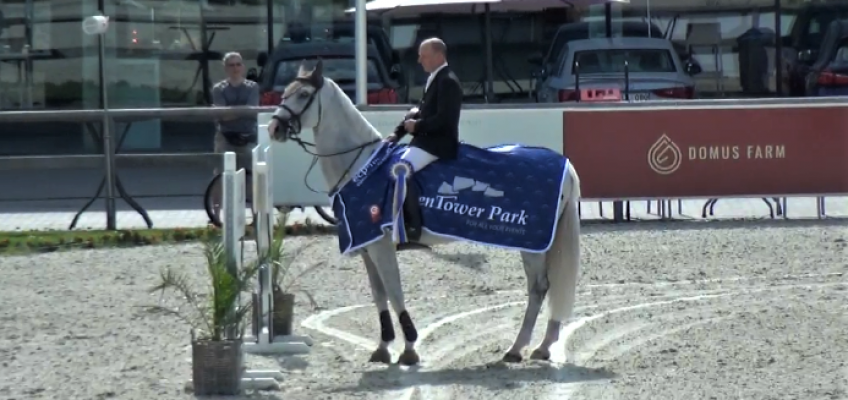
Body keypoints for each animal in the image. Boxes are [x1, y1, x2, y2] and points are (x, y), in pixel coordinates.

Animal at [268, 61, 580, 366]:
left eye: (303, 95)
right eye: (285, 92)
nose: (273, 128)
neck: (361, 168)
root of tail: (563, 164)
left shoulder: (381, 245)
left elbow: (394, 292)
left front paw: (409, 349)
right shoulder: (367, 246)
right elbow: (379, 294)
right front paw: (383, 347)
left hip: (532, 243)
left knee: (539, 288)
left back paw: (518, 348)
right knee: (544, 288)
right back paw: (541, 347)